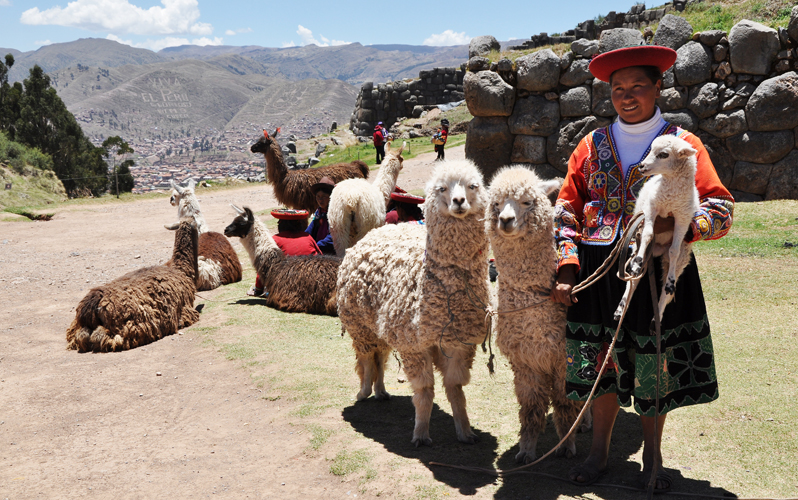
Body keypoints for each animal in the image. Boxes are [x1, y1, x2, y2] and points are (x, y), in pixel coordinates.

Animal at [336, 159, 490, 446]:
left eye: (473, 186)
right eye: (442, 188)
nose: (459, 201)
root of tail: (379, 229)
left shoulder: (458, 344)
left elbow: (455, 389)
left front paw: (465, 431)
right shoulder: (414, 344)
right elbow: (425, 390)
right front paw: (420, 434)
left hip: (381, 324)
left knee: (380, 355)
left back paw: (381, 391)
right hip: (359, 323)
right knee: (367, 356)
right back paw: (364, 392)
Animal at [616, 133, 696, 320]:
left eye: (663, 154)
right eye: (651, 149)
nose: (642, 166)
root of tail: (657, 250)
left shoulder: (682, 217)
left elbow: (674, 251)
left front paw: (670, 283)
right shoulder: (651, 210)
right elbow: (648, 235)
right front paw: (637, 262)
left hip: (681, 256)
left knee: (666, 291)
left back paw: (657, 317)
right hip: (639, 246)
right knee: (633, 280)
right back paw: (621, 308)